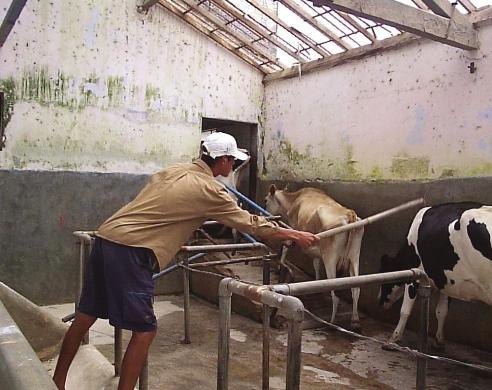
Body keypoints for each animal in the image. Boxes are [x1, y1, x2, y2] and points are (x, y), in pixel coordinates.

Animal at [268, 185, 364, 330]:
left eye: (265, 200)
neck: (294, 200)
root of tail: (349, 213)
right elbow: (316, 264)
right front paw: (316, 285)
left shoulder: (294, 230)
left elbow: (285, 248)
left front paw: (280, 266)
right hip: (354, 256)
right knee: (356, 288)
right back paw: (355, 320)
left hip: (330, 257)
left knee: (335, 293)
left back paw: (331, 322)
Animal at [380, 203, 492, 346]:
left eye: (383, 277)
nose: (380, 302)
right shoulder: (448, 280)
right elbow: (441, 311)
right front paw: (439, 340)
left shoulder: (415, 277)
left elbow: (405, 310)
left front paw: (394, 338)